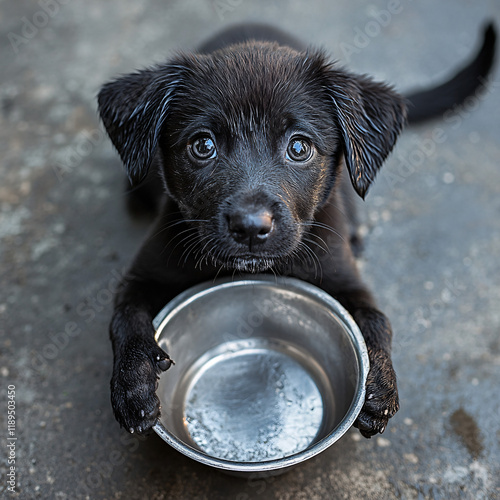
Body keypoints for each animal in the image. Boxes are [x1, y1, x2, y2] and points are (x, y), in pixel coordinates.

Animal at [97, 23, 496, 438]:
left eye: (299, 148)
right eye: (203, 145)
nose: (251, 227)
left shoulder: (344, 276)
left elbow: (376, 319)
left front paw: (381, 387)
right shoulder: (143, 274)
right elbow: (123, 317)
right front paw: (133, 384)